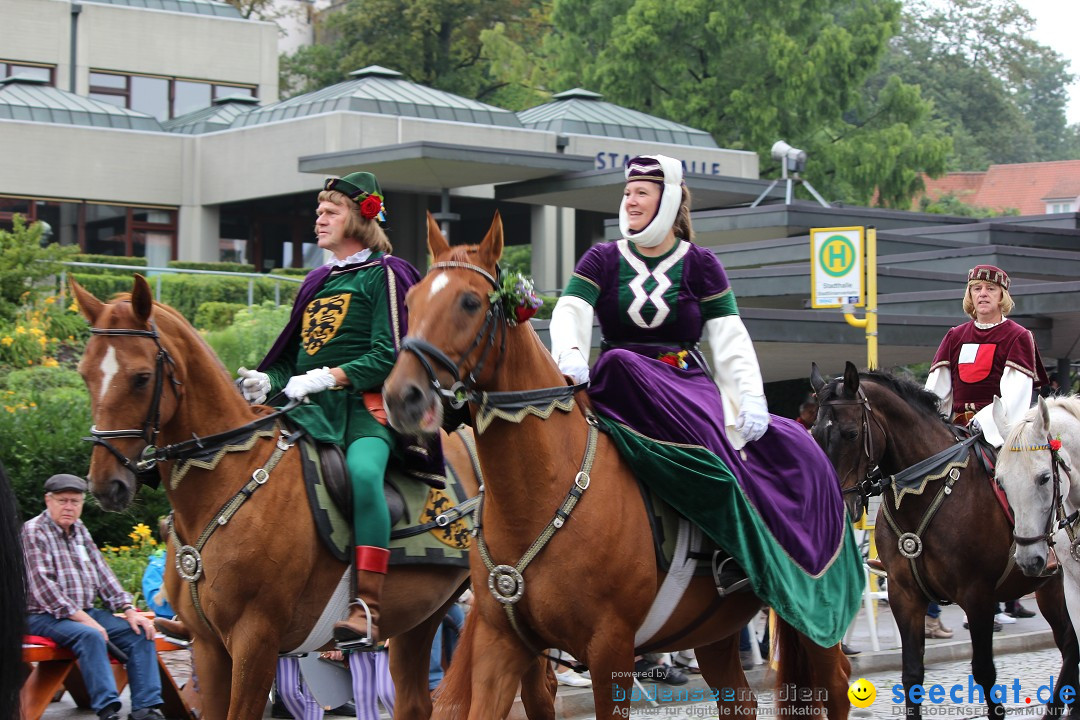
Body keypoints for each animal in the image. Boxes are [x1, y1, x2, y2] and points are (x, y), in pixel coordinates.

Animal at [69, 276, 557, 720]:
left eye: (140, 378)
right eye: (85, 373)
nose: (106, 483)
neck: (227, 477)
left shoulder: (255, 641)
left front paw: (310, 382)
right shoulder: (208, 646)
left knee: (538, 693)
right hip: (424, 617)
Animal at [382, 213, 851, 720]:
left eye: (469, 301)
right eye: (410, 299)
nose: (402, 396)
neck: (543, 491)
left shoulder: (610, 648)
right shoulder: (500, 642)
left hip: (816, 618)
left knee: (836, 684)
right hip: (715, 631)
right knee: (740, 701)